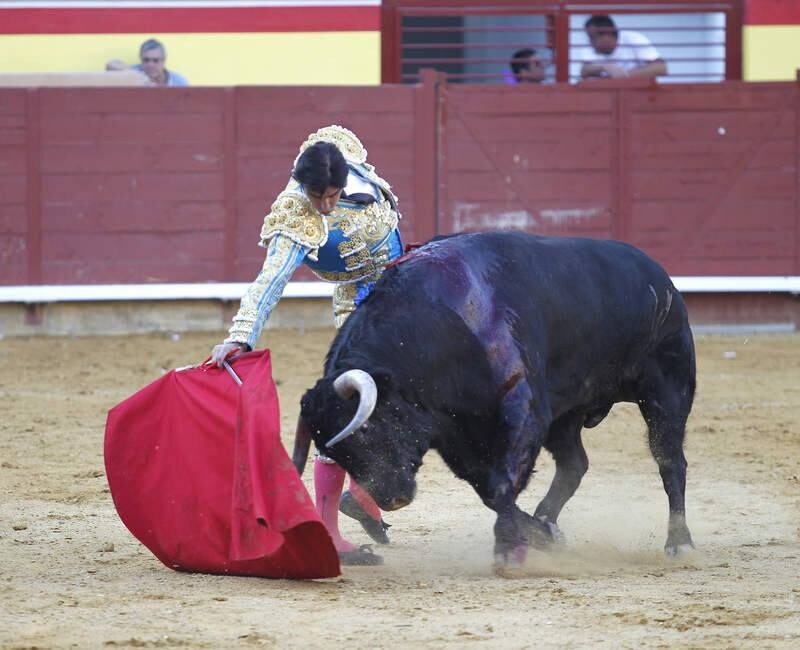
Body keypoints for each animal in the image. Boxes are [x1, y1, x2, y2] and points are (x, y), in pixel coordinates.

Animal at [292, 232, 692, 560]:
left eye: (366, 430)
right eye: (335, 452)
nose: (393, 498)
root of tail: (659, 276)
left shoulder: (524, 409)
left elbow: (501, 483)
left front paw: (510, 549)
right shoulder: (454, 434)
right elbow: (490, 490)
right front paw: (535, 534)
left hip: (667, 389)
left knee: (670, 460)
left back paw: (679, 542)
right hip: (567, 414)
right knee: (574, 464)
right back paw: (547, 523)